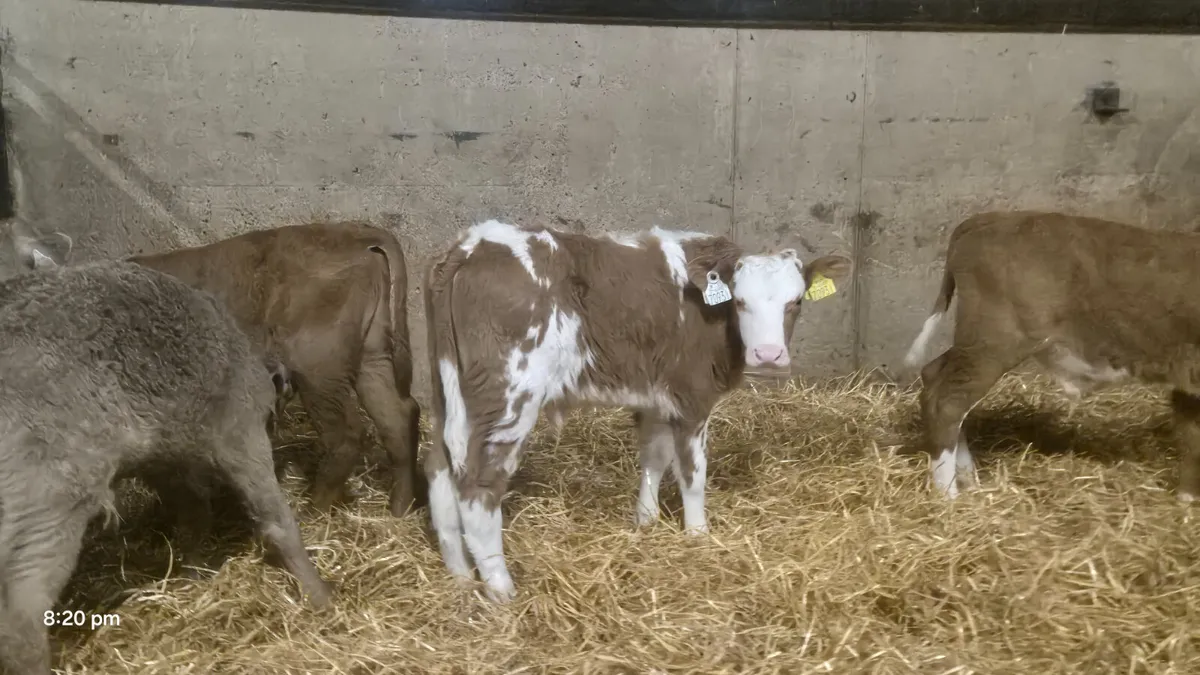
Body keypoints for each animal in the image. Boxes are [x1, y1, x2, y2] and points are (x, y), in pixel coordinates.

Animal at [0, 227, 332, 675]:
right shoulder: (239, 430)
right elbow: (276, 521)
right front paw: (321, 597)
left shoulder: (167, 460)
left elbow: (193, 517)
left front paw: (191, 575)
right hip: (47, 505)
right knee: (21, 624)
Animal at [128, 221, 424, 518]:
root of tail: (355, 231)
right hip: (373, 355)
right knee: (397, 418)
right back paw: (401, 508)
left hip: (317, 365)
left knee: (346, 435)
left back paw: (315, 511)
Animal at [423, 219, 853, 602]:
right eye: (741, 302)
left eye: (796, 302)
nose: (768, 355)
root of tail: (473, 243)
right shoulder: (692, 397)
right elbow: (692, 473)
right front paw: (698, 536)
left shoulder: (656, 397)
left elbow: (654, 457)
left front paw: (645, 521)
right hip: (509, 395)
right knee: (479, 486)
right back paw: (501, 592)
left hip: (449, 395)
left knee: (440, 471)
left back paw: (460, 581)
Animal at [903, 210, 1200, 501]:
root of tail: (987, 218)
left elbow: (1191, 435)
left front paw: (1186, 500)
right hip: (995, 340)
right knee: (948, 402)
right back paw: (949, 496)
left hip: (978, 342)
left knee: (934, 374)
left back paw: (969, 481)